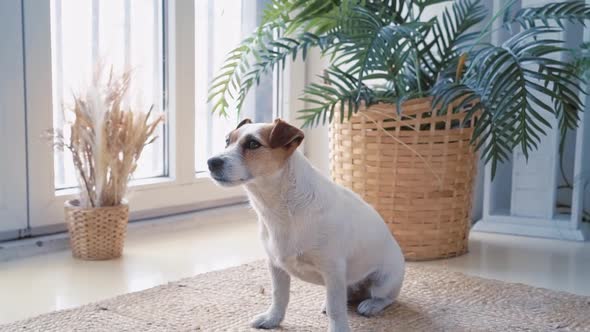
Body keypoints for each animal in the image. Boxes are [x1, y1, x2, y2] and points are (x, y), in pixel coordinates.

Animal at [208, 118, 408, 330]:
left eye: (253, 144)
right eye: (227, 141)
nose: (211, 162)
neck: (282, 209)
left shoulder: (333, 270)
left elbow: (337, 309)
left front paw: (338, 328)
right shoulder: (276, 265)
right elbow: (279, 296)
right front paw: (272, 319)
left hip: (383, 281)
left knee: (385, 298)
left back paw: (371, 304)